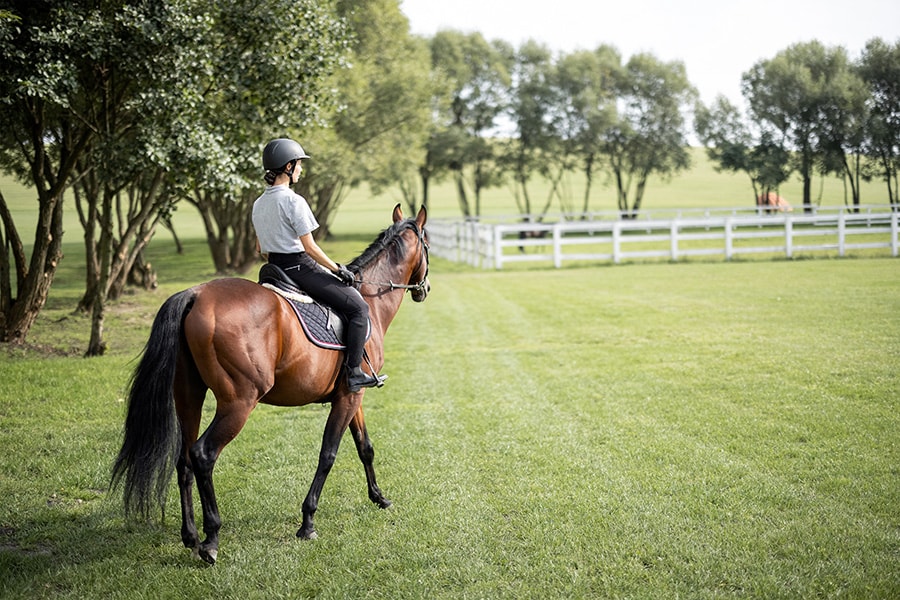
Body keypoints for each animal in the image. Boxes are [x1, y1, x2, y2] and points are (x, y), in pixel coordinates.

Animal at [111, 204, 429, 565]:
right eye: (428, 243)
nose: (424, 289)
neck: (369, 301)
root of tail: (195, 294)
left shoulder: (352, 394)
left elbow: (365, 447)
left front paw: (379, 497)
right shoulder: (349, 397)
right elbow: (328, 454)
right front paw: (307, 522)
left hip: (188, 396)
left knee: (184, 459)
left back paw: (190, 535)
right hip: (238, 403)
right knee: (203, 454)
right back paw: (211, 539)